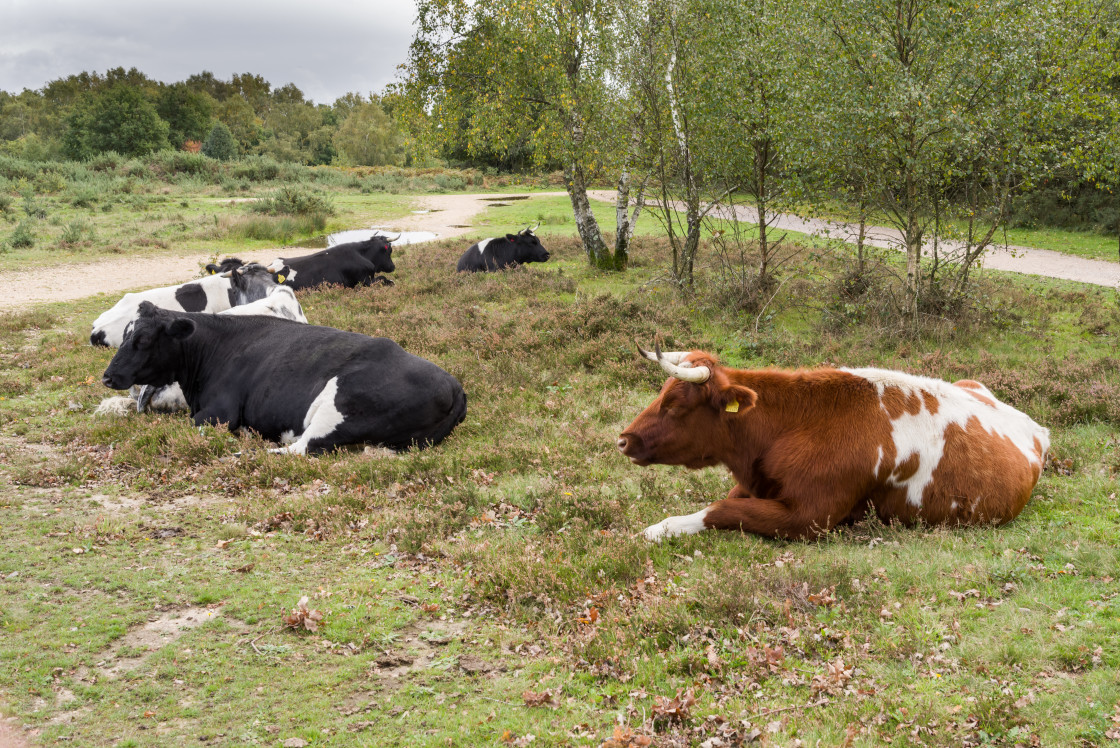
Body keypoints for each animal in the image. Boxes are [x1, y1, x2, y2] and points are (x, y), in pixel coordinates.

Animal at [101, 300, 468, 452]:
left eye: (142, 340)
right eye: (126, 333)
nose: (107, 377)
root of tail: (455, 385)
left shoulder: (218, 413)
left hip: (339, 409)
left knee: (304, 448)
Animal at [622, 344, 1048, 544]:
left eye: (676, 405)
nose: (624, 440)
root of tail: (1035, 425)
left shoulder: (810, 517)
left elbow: (720, 510)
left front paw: (657, 530)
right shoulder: (756, 485)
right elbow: (726, 500)